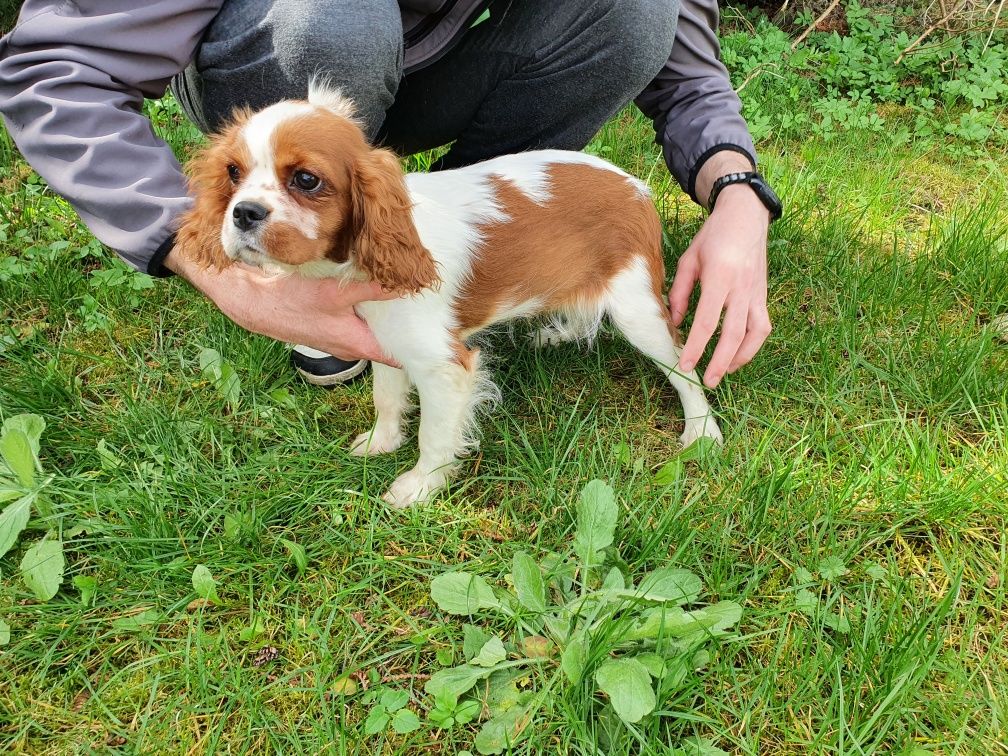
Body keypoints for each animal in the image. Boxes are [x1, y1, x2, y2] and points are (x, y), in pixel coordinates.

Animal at [175, 82, 725, 510]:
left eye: (306, 180)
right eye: (233, 173)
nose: (243, 212)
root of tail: (638, 188)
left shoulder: (445, 367)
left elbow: (435, 433)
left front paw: (420, 486)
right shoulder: (383, 340)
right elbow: (386, 398)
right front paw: (381, 442)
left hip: (637, 308)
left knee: (683, 365)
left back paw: (701, 431)